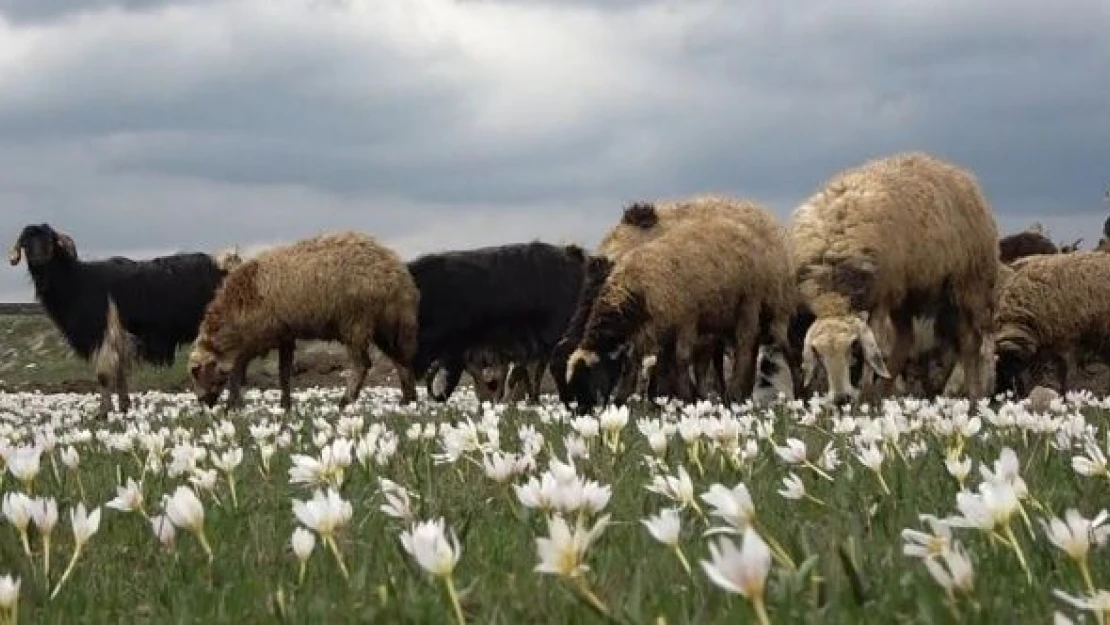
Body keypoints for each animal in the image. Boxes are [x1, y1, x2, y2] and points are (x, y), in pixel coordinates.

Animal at [8, 222, 238, 417]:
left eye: (50, 239)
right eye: (26, 242)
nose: (38, 257)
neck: (77, 281)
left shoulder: (104, 334)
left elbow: (104, 375)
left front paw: (103, 413)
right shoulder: (119, 338)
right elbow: (119, 374)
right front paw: (124, 407)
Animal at [188, 232, 417, 412]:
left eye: (197, 373)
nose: (203, 402)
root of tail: (395, 271)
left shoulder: (257, 336)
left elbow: (238, 370)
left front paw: (232, 406)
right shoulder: (283, 335)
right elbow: (284, 373)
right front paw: (285, 406)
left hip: (357, 321)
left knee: (362, 364)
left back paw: (345, 402)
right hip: (386, 324)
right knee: (401, 359)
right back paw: (409, 400)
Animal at [563, 203, 799, 412]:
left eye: (590, 376)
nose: (581, 411)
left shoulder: (683, 320)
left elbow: (677, 361)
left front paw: (682, 401)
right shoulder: (649, 330)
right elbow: (638, 368)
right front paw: (630, 403)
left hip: (758, 307)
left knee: (763, 348)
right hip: (723, 322)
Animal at [790, 152, 999, 406]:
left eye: (853, 346)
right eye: (818, 352)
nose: (841, 399)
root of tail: (954, 171)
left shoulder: (881, 297)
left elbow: (877, 345)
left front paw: (865, 395)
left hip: (968, 284)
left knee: (970, 342)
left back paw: (975, 397)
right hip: (908, 295)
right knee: (905, 340)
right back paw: (886, 391)